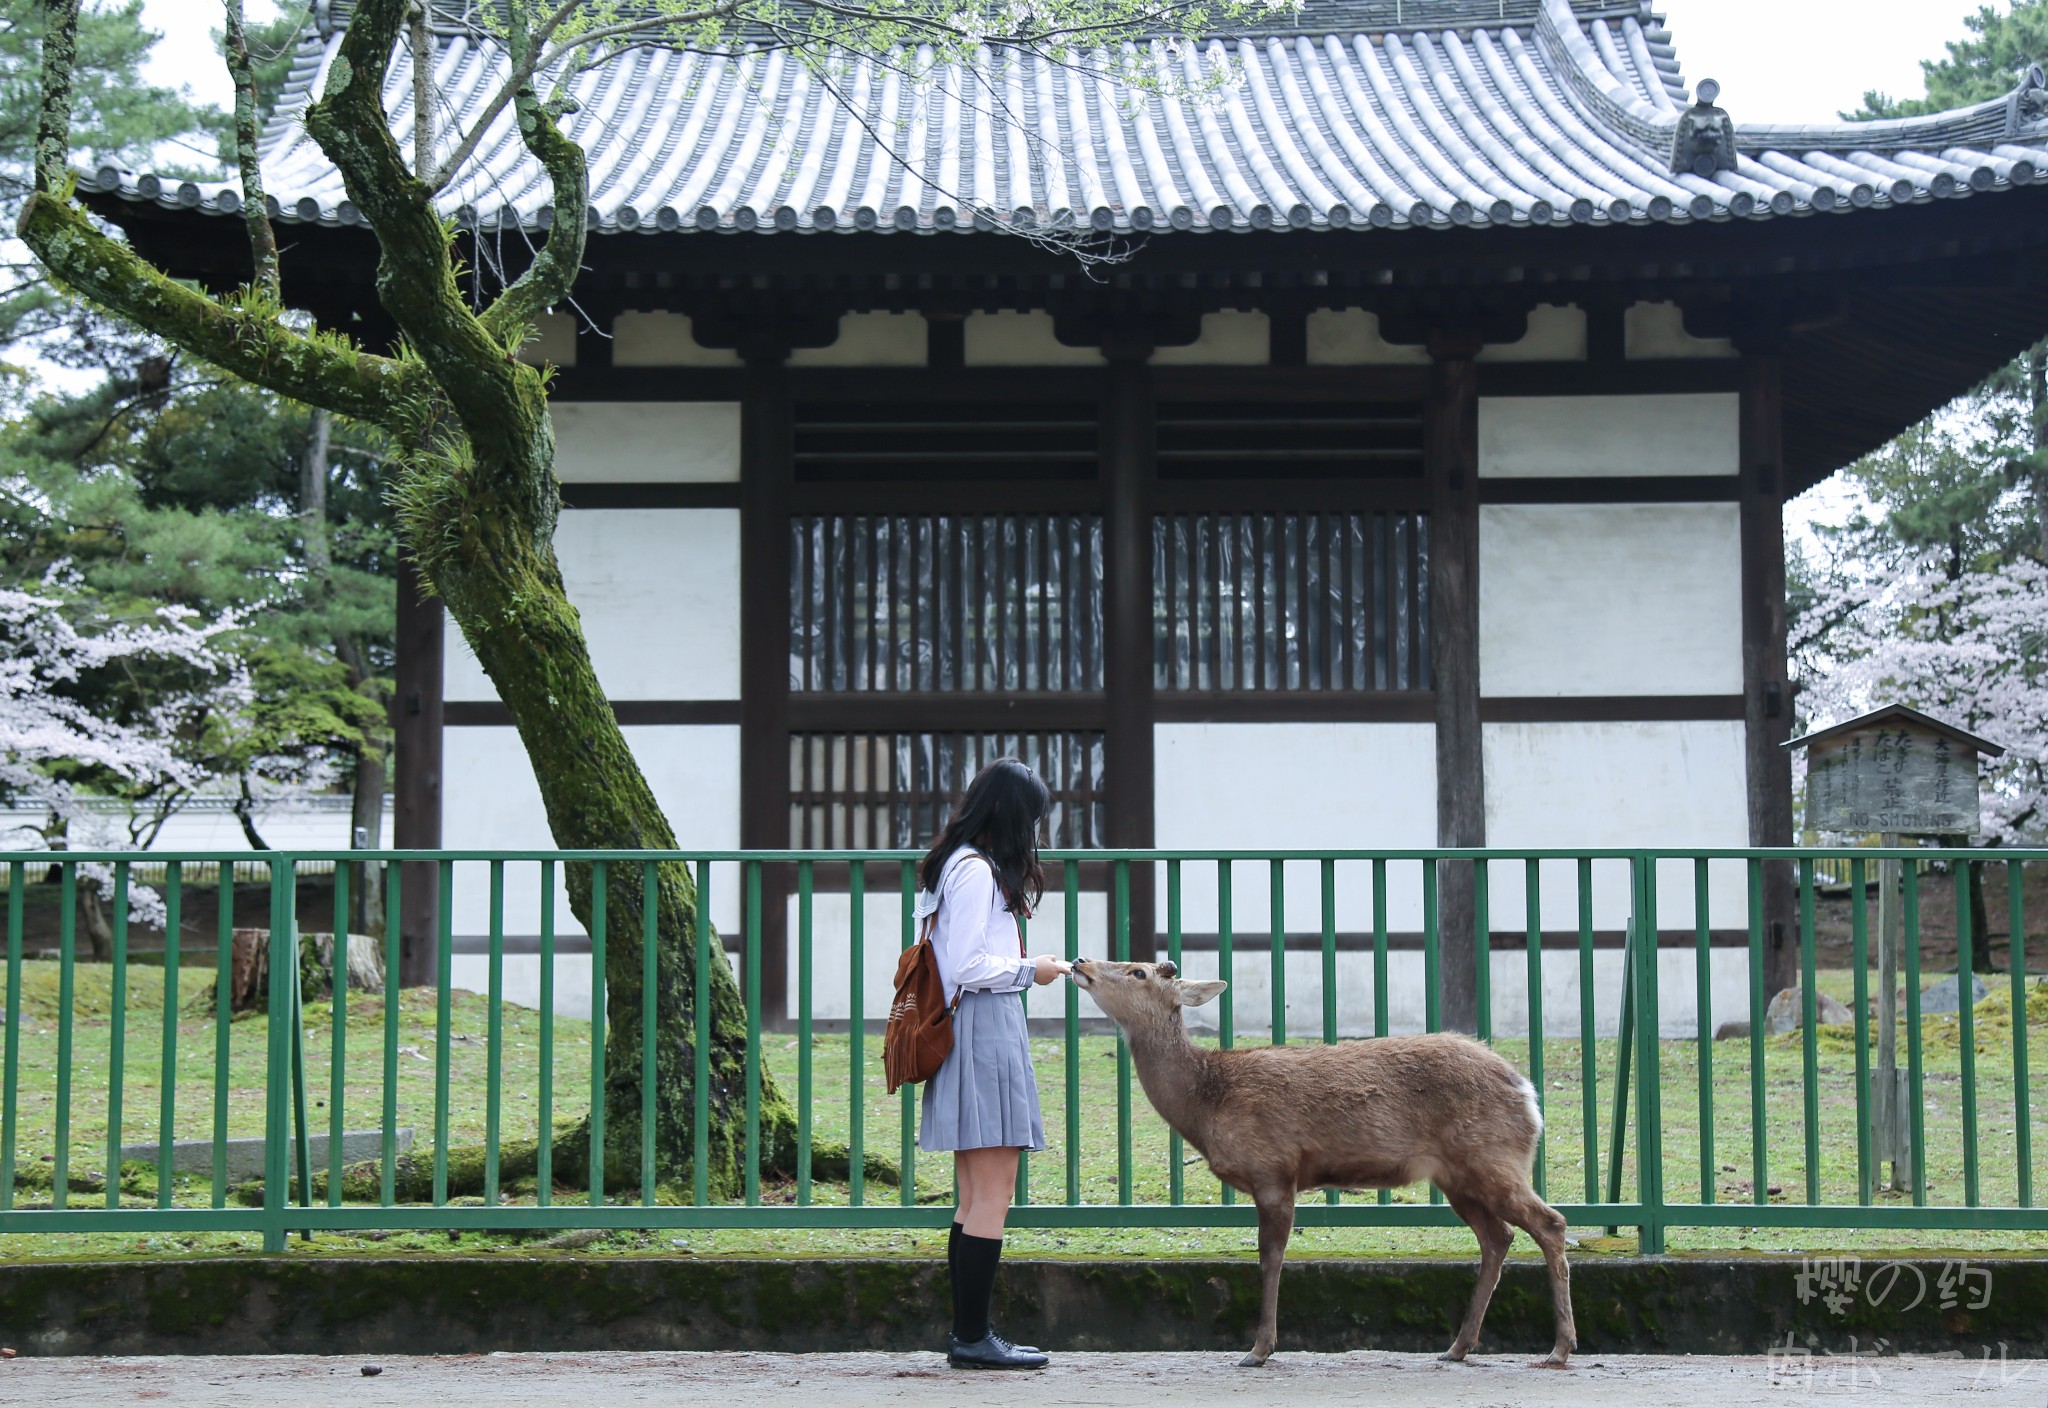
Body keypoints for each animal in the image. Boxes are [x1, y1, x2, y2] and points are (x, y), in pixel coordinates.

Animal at [1073, 949, 1564, 1367]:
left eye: (1138, 971)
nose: (1080, 961)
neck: (1207, 1104)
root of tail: (1529, 1094)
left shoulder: (1273, 1168)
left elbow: (1270, 1257)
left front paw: (1259, 1350)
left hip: (1493, 1157)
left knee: (1549, 1223)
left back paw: (1558, 1349)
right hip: (1457, 1177)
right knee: (1497, 1237)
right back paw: (1458, 1347)